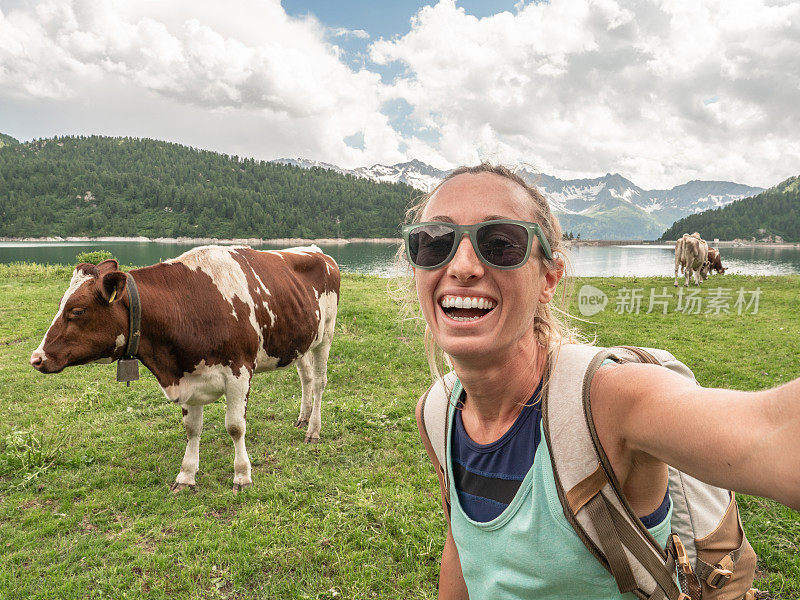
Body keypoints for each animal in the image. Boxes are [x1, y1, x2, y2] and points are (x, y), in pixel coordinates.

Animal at [31, 244, 340, 492]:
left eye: (77, 311)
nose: (37, 358)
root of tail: (317, 251)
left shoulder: (239, 372)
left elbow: (235, 426)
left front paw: (242, 475)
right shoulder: (188, 376)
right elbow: (192, 429)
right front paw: (186, 476)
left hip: (326, 335)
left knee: (320, 382)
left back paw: (313, 430)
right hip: (300, 341)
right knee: (306, 378)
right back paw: (302, 418)